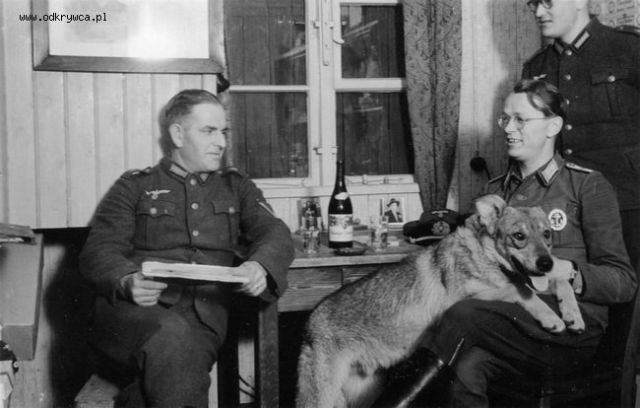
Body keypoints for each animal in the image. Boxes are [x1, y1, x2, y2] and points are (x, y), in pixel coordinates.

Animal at [295, 194, 584, 408]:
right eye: (519, 236)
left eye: (547, 234)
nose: (546, 263)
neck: (486, 257)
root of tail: (309, 324)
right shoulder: (468, 296)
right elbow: (521, 292)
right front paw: (552, 318)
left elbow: (560, 284)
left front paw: (573, 316)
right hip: (322, 399)